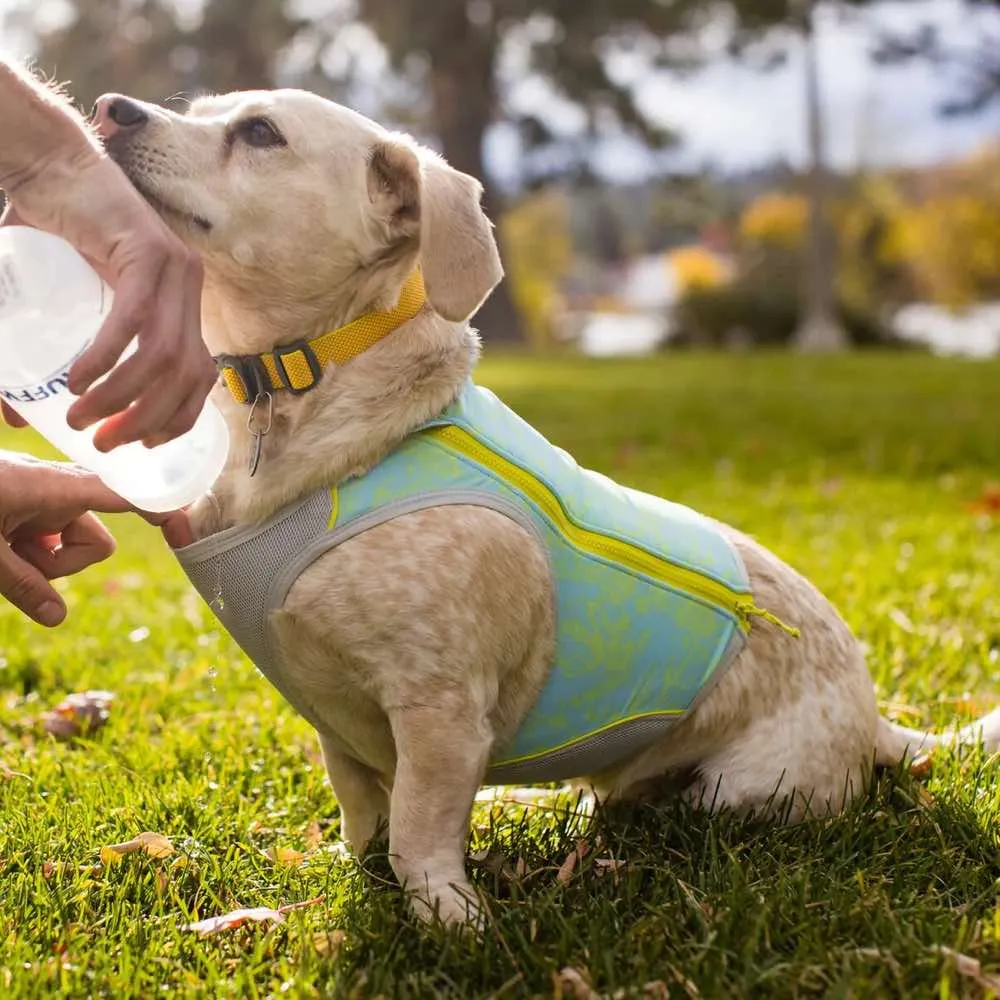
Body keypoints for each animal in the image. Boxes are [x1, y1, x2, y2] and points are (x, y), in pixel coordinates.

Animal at [95, 90, 1000, 924]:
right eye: (199, 107)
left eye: (259, 132)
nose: (109, 107)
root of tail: (877, 723)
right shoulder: (336, 723)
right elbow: (363, 816)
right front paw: (357, 873)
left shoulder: (441, 711)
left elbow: (419, 829)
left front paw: (449, 918)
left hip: (740, 791)